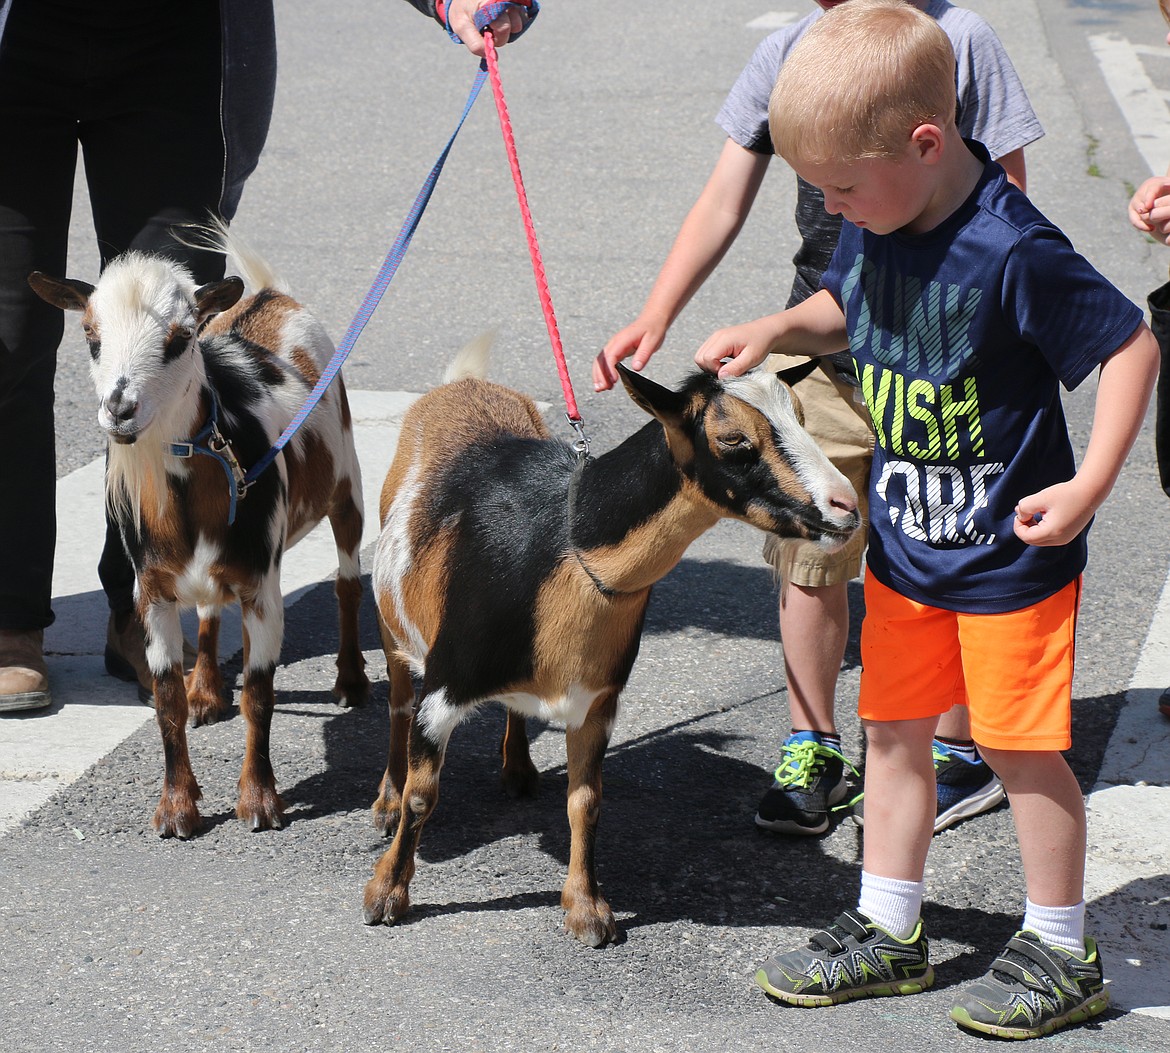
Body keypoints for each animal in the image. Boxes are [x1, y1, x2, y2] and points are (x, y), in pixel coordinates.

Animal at [29, 232, 367, 837]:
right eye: (90, 336)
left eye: (180, 338)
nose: (120, 409)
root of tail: (268, 294)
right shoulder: (153, 592)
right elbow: (167, 700)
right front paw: (176, 808)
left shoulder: (263, 586)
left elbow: (260, 693)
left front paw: (259, 801)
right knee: (210, 608)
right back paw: (207, 690)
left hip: (347, 480)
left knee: (347, 582)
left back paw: (351, 682)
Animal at [365, 339, 861, 945]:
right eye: (733, 440)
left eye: (802, 416)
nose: (845, 506)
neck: (566, 543)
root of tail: (461, 385)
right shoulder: (444, 687)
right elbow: (424, 795)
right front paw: (386, 893)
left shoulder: (598, 700)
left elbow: (587, 802)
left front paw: (587, 909)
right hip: (392, 622)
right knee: (396, 704)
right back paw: (386, 801)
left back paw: (519, 771)